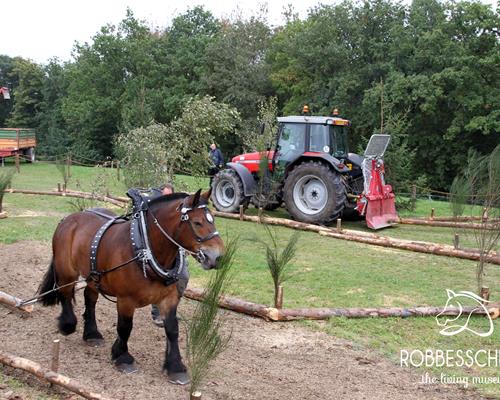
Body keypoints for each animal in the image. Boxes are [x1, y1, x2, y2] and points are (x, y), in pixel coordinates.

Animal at [36, 189, 222, 382]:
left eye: (213, 220)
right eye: (197, 222)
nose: (217, 257)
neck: (144, 249)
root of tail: (68, 218)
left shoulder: (169, 298)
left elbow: (172, 329)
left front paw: (175, 366)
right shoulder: (126, 300)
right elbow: (125, 327)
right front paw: (123, 357)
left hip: (93, 276)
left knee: (90, 297)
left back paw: (92, 334)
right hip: (66, 270)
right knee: (65, 292)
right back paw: (68, 325)